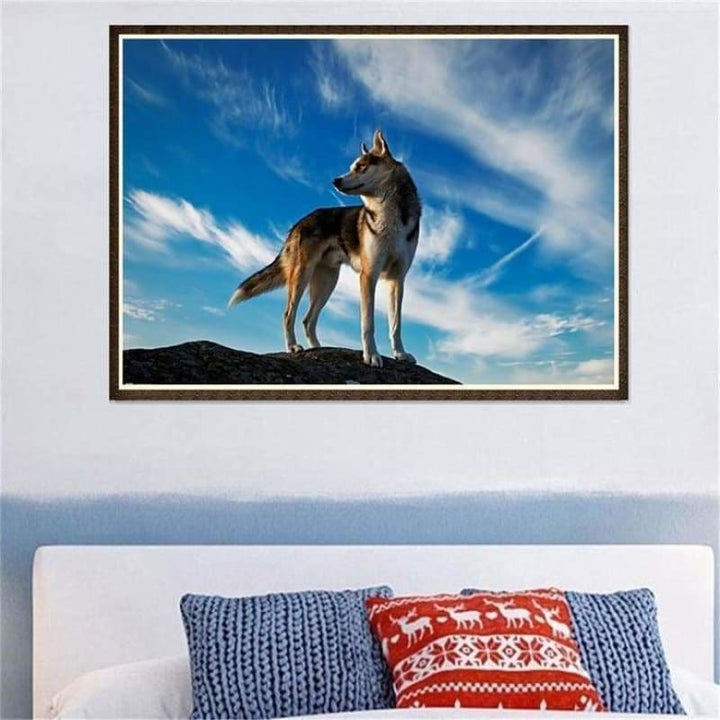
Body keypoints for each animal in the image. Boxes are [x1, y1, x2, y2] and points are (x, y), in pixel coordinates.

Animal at [227, 130, 421, 367]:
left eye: (361, 166)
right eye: (352, 166)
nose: (335, 180)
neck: (390, 216)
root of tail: (300, 222)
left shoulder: (397, 279)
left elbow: (396, 324)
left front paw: (400, 354)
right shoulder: (368, 276)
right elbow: (368, 324)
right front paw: (371, 355)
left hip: (327, 282)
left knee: (307, 320)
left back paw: (317, 349)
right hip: (302, 276)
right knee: (288, 314)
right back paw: (292, 347)